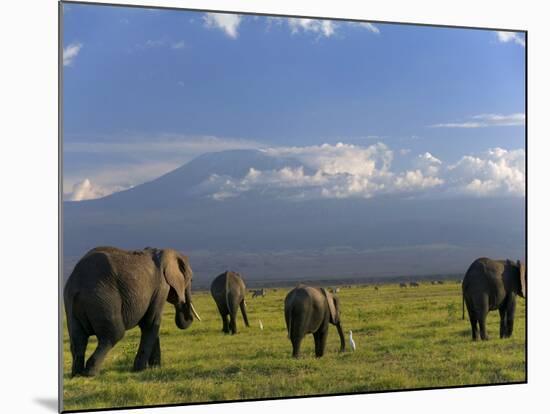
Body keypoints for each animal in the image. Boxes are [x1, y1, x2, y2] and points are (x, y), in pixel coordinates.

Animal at [64, 247, 203, 376]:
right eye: (191, 280)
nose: (188, 316)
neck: (163, 252)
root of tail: (78, 285)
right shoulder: (161, 286)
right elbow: (150, 323)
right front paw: (140, 369)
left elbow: (150, 324)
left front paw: (155, 367)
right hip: (103, 299)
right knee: (113, 335)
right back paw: (90, 373)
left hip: (71, 302)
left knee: (78, 339)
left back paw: (76, 374)